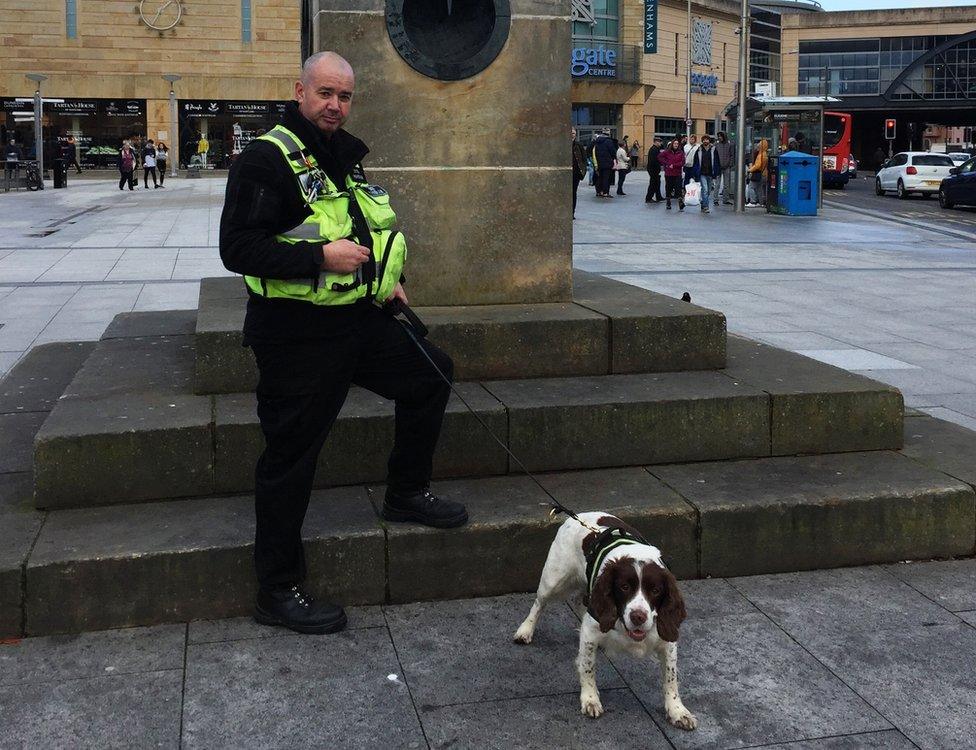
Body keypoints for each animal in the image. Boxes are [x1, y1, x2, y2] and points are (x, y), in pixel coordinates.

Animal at [516, 516, 696, 732]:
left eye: (655, 590)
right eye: (624, 587)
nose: (638, 616)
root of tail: (577, 515)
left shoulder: (667, 639)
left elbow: (671, 678)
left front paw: (678, 711)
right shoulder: (590, 631)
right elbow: (588, 666)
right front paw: (590, 699)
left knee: (578, 601)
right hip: (554, 580)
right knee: (539, 603)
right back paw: (525, 630)